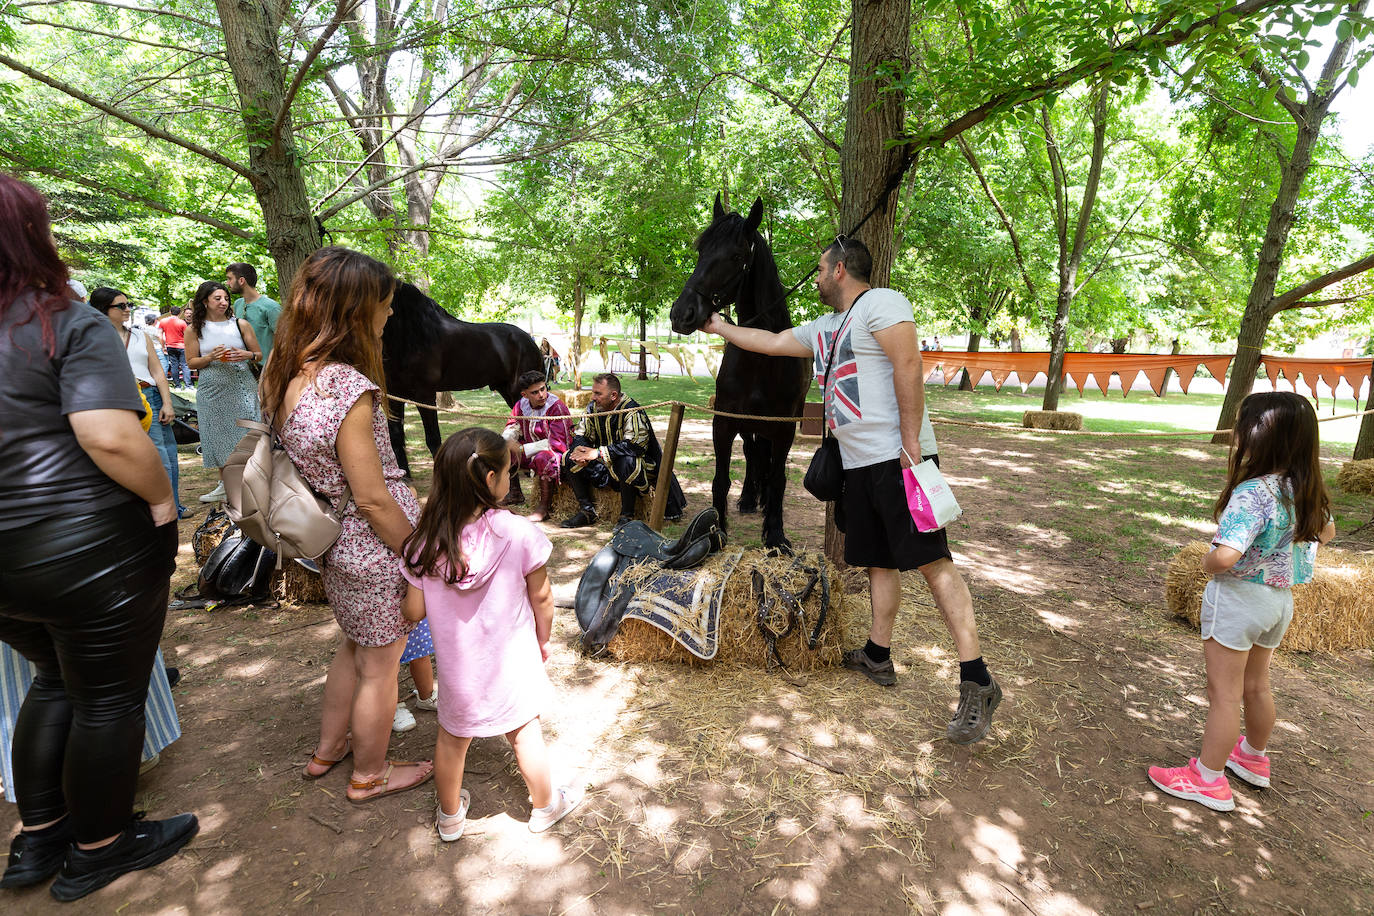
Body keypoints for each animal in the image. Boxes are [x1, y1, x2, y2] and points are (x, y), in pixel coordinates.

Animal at [384, 282, 544, 477]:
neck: (408, 333)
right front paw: (403, 475)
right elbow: (395, 436)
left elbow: (433, 438)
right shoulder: (393, 394)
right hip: (508, 391)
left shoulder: (425, 395)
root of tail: (531, 341)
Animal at [670, 195, 807, 552]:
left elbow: (778, 478)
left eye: (736, 256)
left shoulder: (784, 428)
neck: (762, 357)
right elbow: (721, 478)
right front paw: (716, 529)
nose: (681, 313)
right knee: (752, 453)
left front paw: (775, 534)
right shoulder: (724, 422)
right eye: (701, 249)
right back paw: (748, 497)